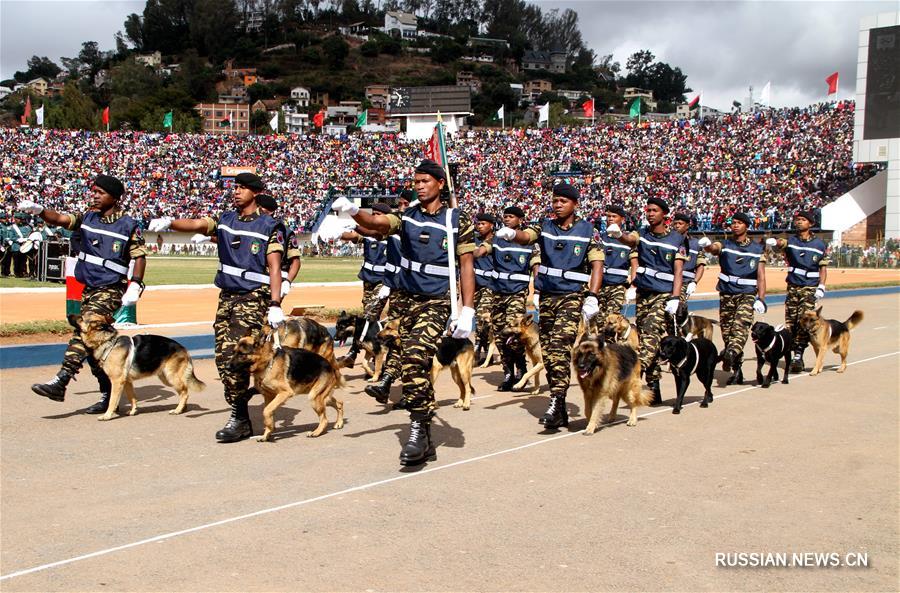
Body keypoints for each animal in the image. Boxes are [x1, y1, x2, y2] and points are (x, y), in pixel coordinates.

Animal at [75, 312, 206, 418]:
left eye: (81, 317)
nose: (70, 315)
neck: (109, 342)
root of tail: (184, 348)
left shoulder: (117, 381)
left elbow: (112, 400)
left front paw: (107, 415)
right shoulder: (127, 382)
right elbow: (132, 397)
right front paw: (133, 411)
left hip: (171, 377)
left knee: (185, 392)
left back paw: (178, 410)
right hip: (166, 378)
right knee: (184, 390)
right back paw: (182, 408)